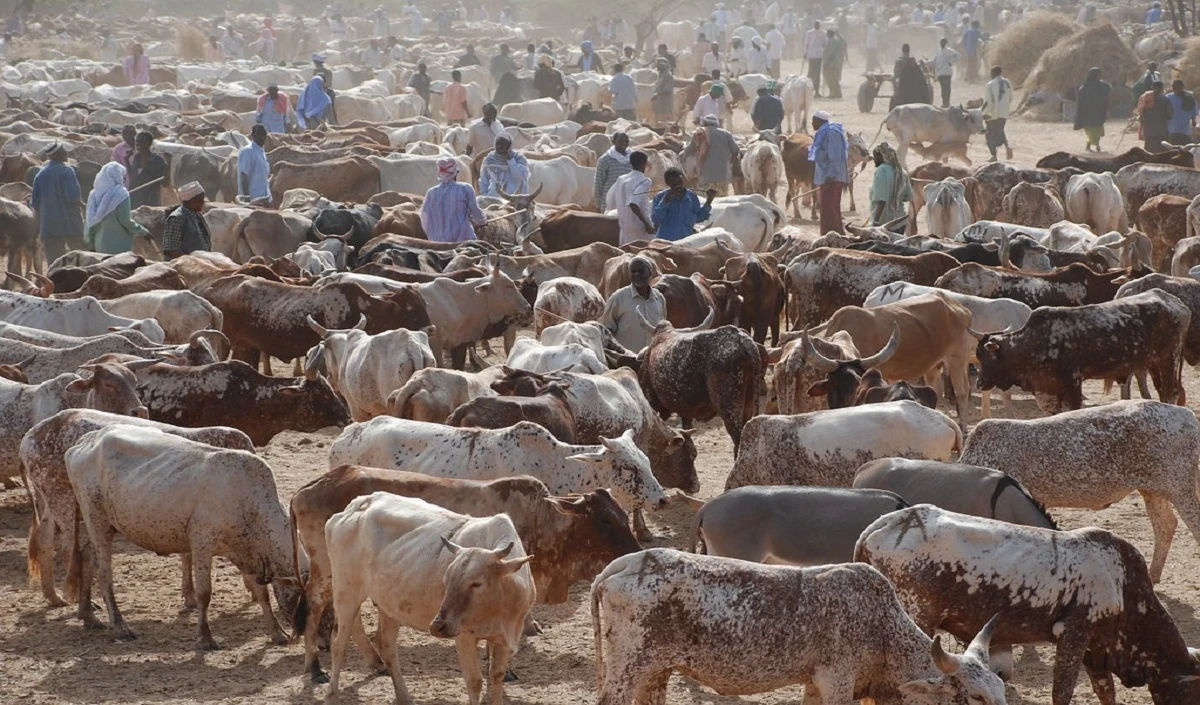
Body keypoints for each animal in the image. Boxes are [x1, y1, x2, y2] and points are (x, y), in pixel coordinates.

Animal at [590, 551, 1003, 705]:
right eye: (977, 698)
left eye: (1001, 693)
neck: (884, 634)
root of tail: (626, 562)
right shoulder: (837, 681)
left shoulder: (814, 683)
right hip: (626, 670)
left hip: (655, 672)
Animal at [859, 505, 1200, 705]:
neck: (1123, 584)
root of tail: (884, 524)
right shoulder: (1073, 636)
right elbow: (1061, 691)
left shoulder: (1095, 649)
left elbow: (1105, 690)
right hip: (916, 618)